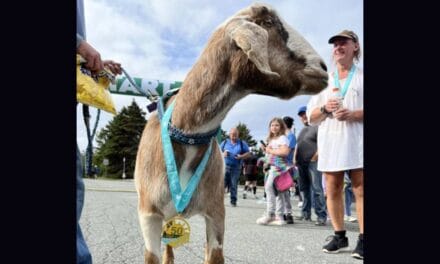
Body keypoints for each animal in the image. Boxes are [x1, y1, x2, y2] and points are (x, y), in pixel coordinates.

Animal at [136, 2, 328, 264]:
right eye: (268, 23)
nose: (323, 68)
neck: (187, 132)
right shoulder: (148, 215)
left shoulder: (216, 210)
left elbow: (214, 254)